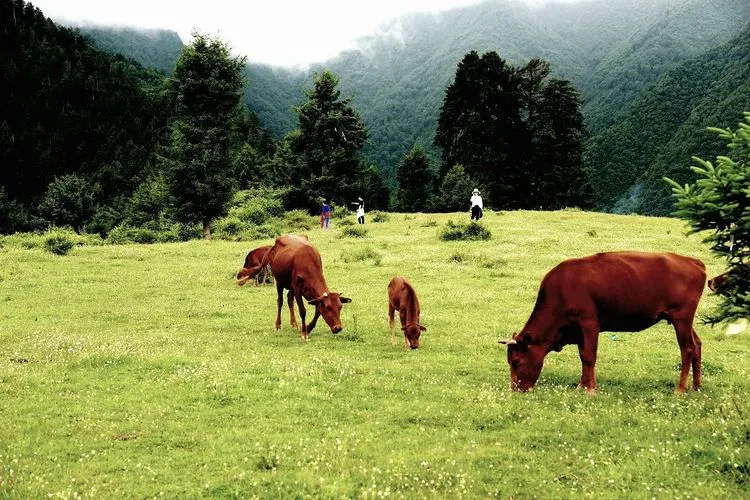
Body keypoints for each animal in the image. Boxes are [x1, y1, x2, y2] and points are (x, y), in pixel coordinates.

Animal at [502, 252, 708, 396]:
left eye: (517, 361)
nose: (516, 389)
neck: (561, 290)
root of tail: (691, 261)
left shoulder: (589, 324)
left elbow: (589, 356)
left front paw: (591, 389)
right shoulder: (578, 331)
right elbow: (583, 356)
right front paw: (581, 385)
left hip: (681, 319)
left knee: (687, 349)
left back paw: (680, 389)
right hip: (683, 321)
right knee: (697, 345)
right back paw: (696, 386)